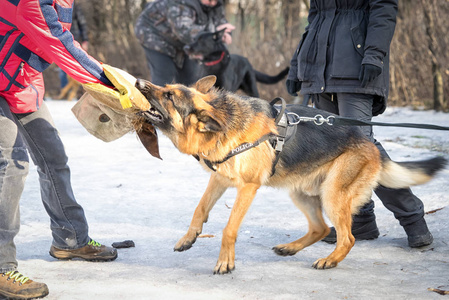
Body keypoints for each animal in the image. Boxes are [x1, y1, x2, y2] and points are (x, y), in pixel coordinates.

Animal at [136, 75, 444, 274]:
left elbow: (229, 228)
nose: (139, 83)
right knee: (321, 228)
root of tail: (370, 144)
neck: (224, 123)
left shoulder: (247, 188)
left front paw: (225, 262)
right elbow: (199, 209)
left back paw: (330, 261)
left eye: (169, 96)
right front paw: (188, 239)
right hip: (301, 194)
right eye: (166, 87)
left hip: (332, 195)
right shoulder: (220, 179)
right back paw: (291, 249)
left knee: (347, 237)